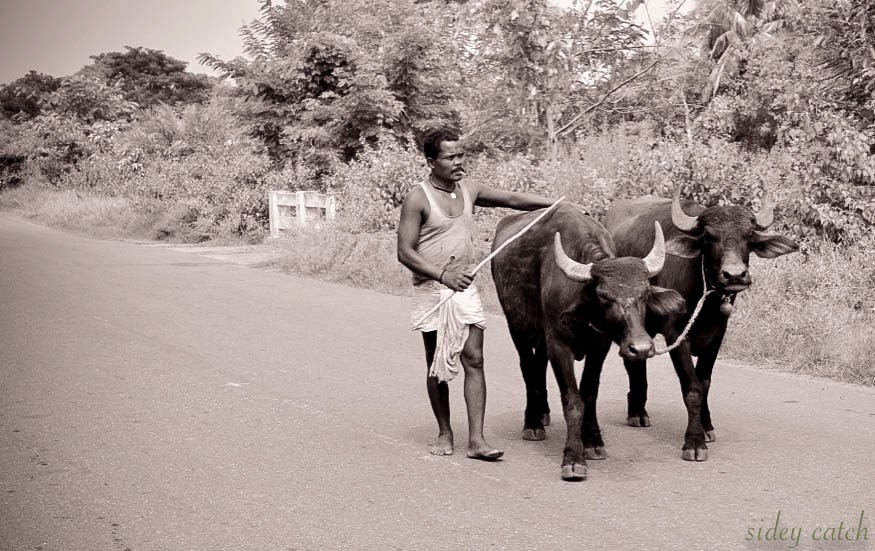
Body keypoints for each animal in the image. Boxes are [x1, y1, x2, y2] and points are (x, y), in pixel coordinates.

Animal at [492, 205, 684, 480]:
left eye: (645, 293)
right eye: (604, 296)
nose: (641, 348)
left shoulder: (599, 346)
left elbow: (589, 394)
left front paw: (592, 442)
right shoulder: (558, 345)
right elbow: (573, 400)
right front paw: (573, 458)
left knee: (538, 368)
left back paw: (543, 413)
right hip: (517, 326)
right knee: (528, 369)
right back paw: (533, 423)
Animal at [604, 189, 800, 462]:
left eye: (749, 235)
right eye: (709, 237)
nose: (735, 275)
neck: (705, 297)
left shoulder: (717, 334)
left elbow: (704, 381)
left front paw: (706, 427)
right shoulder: (676, 333)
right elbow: (692, 387)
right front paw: (694, 442)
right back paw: (637, 412)